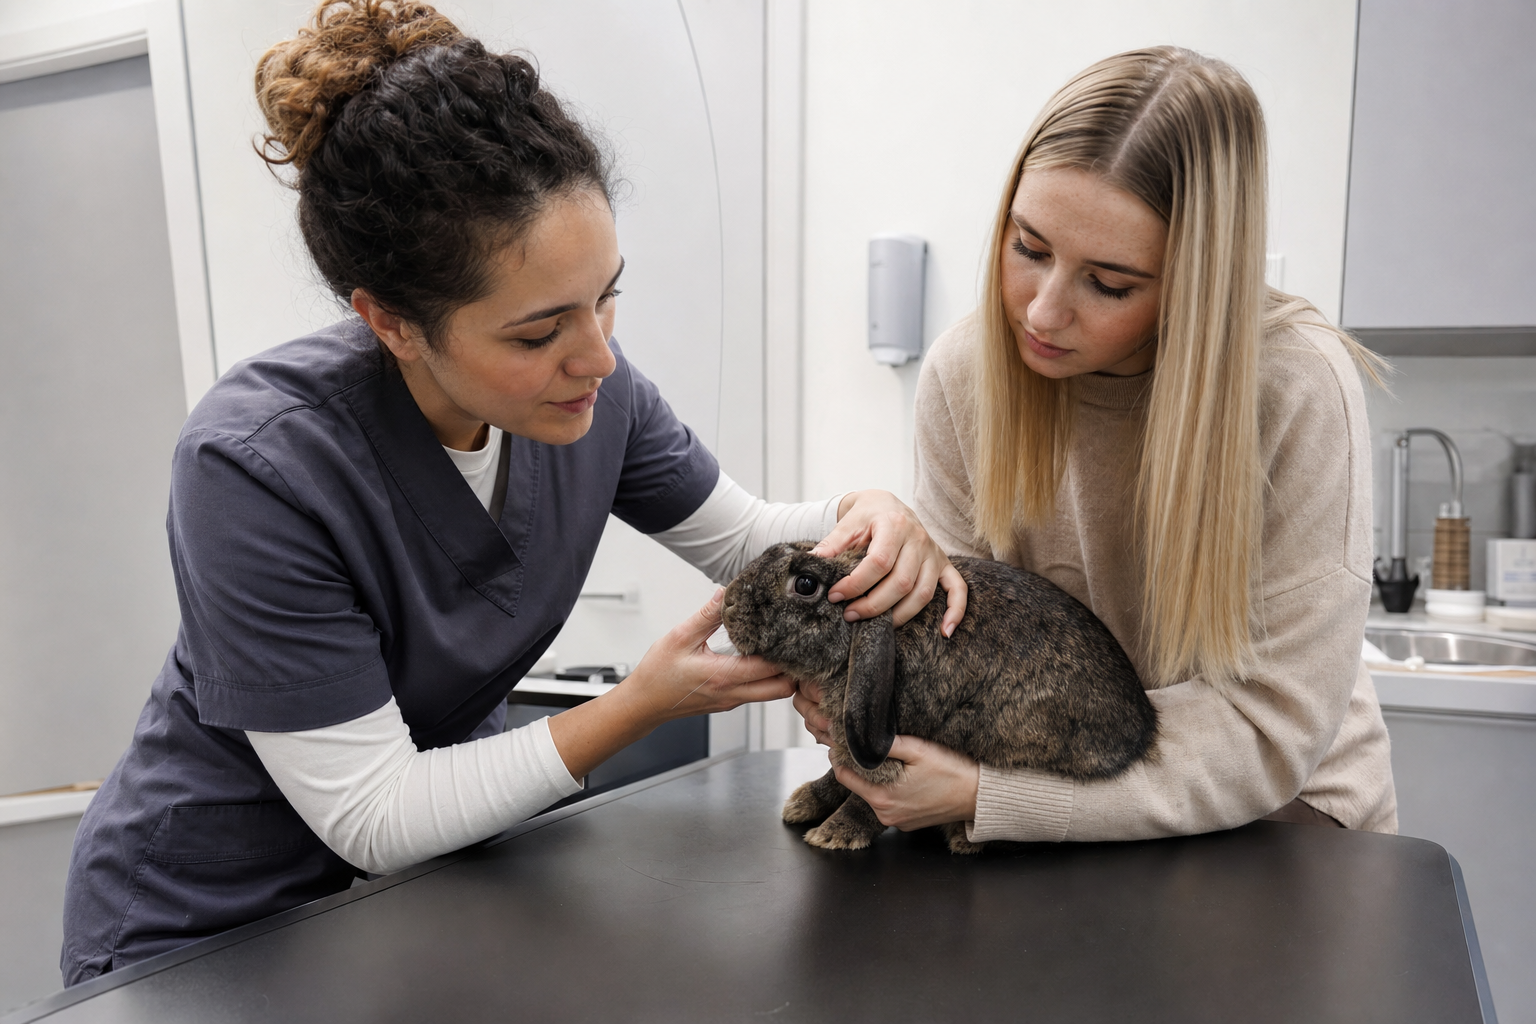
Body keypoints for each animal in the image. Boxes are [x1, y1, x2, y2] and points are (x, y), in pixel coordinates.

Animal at [720, 541, 1157, 854]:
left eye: (806, 585)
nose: (728, 602)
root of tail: (1142, 732)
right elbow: (837, 775)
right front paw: (803, 804)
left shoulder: (887, 751)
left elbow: (868, 799)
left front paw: (833, 835)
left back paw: (967, 839)